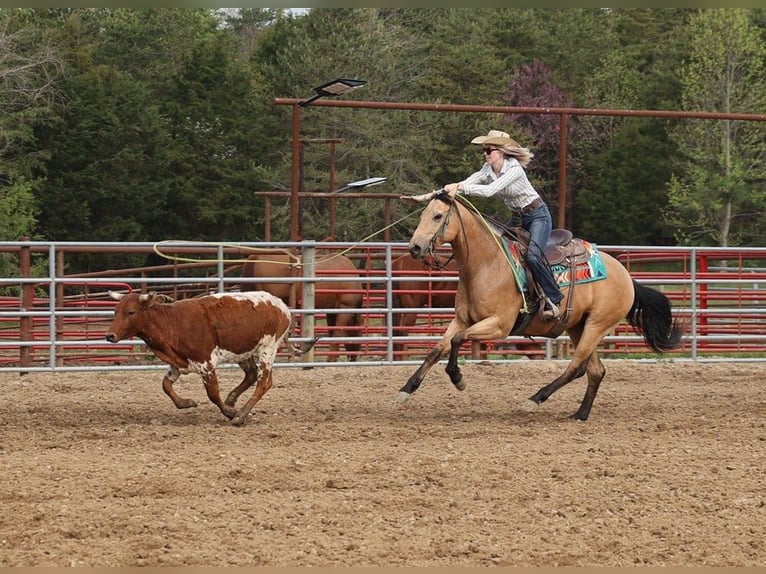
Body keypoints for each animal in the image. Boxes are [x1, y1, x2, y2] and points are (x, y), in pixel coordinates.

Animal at [396, 190, 684, 420]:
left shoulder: (498, 325)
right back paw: (580, 414)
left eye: (437, 216)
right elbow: (436, 350)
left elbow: (457, 342)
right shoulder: (462, 320)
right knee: (595, 371)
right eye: (424, 214)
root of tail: (626, 276)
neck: (487, 263)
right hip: (579, 326)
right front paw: (406, 390)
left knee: (576, 367)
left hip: (597, 325)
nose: (415, 247)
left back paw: (534, 400)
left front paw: (458, 379)